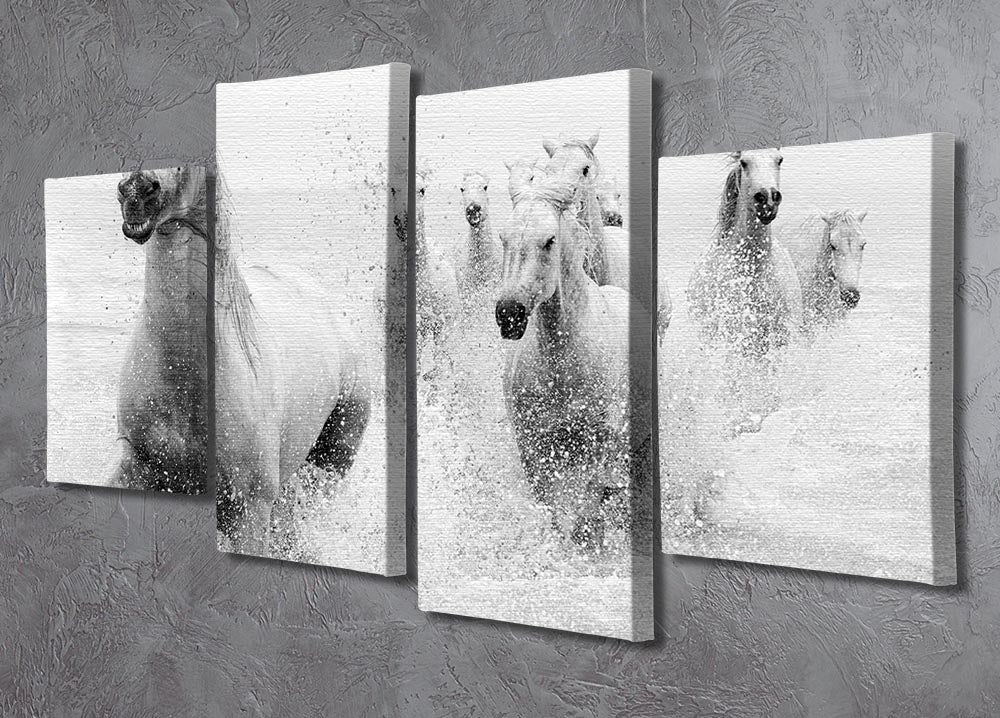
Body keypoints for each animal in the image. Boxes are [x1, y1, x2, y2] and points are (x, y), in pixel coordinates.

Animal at [495, 176, 649, 550]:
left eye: (549, 241)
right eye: (504, 238)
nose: (508, 314)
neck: (562, 368)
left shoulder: (603, 440)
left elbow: (592, 500)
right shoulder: (533, 445)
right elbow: (550, 506)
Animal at [686, 148, 801, 432]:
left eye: (779, 160)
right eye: (744, 162)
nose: (767, 199)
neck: (752, 274)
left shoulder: (778, 338)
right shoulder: (735, 338)